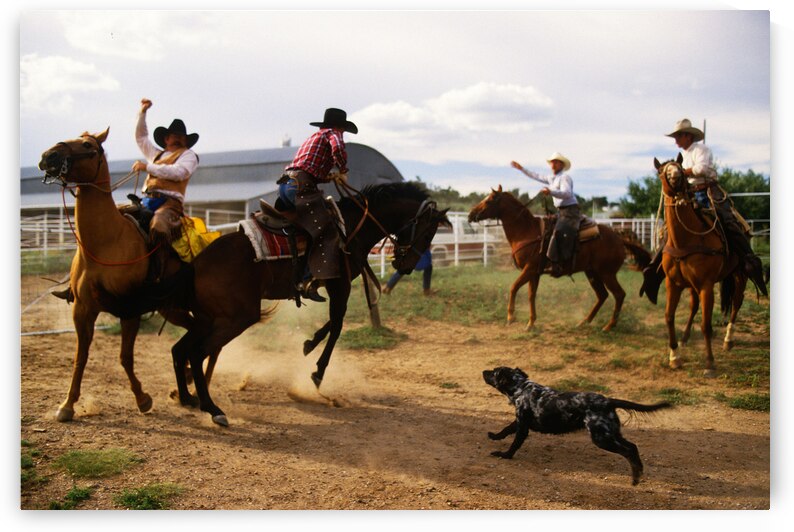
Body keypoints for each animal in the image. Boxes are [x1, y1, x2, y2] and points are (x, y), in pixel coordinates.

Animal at [38, 128, 190, 422]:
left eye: (88, 145)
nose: (48, 155)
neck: (104, 243)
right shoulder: (83, 310)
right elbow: (81, 356)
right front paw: (67, 405)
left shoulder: (130, 310)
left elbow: (125, 358)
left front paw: (143, 399)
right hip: (170, 308)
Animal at [109, 182, 451, 426]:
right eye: (428, 232)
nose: (407, 265)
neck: (350, 227)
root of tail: (198, 262)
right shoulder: (339, 283)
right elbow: (338, 323)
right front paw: (317, 373)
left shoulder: (331, 285)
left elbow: (332, 321)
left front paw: (308, 345)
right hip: (234, 319)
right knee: (195, 352)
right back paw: (211, 408)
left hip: (209, 318)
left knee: (180, 350)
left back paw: (188, 399)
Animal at [468, 185, 651, 332]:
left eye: (489, 200)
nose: (470, 214)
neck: (526, 231)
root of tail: (620, 239)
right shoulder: (535, 273)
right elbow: (531, 295)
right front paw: (531, 323)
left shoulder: (530, 269)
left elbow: (513, 287)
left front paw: (511, 317)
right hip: (592, 273)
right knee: (602, 295)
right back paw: (584, 322)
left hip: (607, 273)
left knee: (619, 294)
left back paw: (609, 326)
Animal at [654, 155, 748, 376]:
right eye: (661, 170)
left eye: (679, 166)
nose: (676, 176)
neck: (684, 240)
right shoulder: (674, 284)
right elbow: (669, 316)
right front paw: (674, 357)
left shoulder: (706, 285)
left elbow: (706, 324)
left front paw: (710, 363)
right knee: (694, 306)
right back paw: (685, 338)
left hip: (739, 273)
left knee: (736, 302)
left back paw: (728, 339)